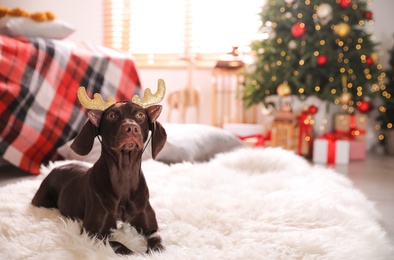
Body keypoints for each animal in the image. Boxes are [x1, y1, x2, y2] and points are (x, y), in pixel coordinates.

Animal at [31, 79, 166, 254]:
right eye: (111, 115)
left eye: (140, 115)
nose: (131, 128)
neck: (125, 175)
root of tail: (56, 167)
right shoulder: (92, 233)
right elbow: (121, 246)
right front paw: (135, 252)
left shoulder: (151, 228)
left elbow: (157, 242)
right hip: (43, 201)